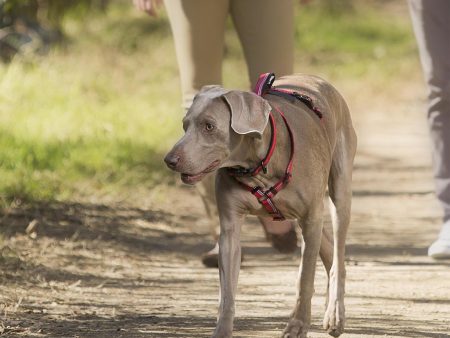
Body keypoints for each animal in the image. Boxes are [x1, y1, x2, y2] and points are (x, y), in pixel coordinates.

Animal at [163, 74, 356, 338]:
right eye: (185, 125)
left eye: (209, 126)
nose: (169, 160)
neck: (257, 166)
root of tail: (317, 79)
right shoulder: (230, 229)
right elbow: (227, 292)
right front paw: (222, 330)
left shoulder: (310, 216)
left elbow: (304, 278)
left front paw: (297, 325)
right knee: (326, 245)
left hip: (338, 192)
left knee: (337, 252)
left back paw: (335, 312)